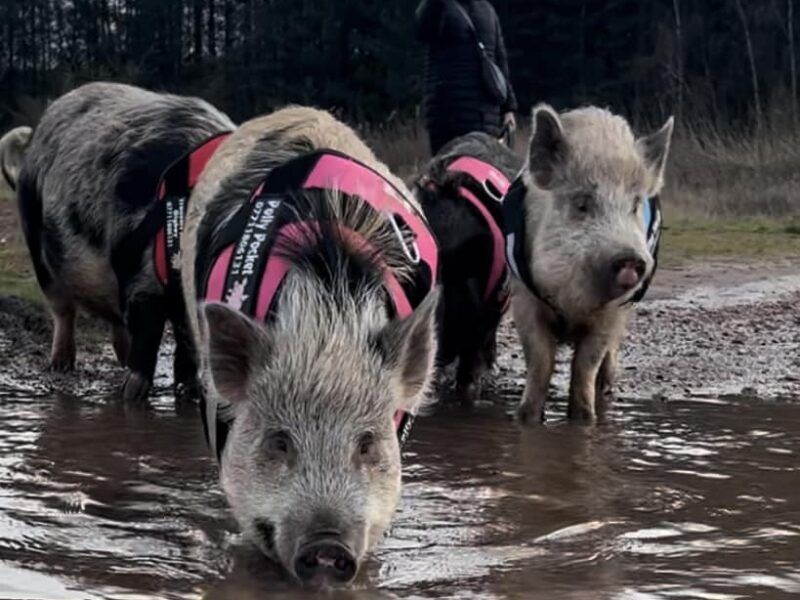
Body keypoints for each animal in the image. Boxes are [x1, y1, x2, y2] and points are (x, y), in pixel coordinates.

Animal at [2, 82, 234, 402]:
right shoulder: (142, 270)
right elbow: (149, 328)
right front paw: (131, 395)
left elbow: (185, 342)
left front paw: (189, 392)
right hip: (36, 243)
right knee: (63, 311)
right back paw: (61, 366)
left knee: (117, 322)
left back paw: (119, 361)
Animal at [509, 104, 673, 422]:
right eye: (582, 204)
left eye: (634, 206)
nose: (629, 257)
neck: (572, 302)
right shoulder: (524, 299)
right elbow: (540, 361)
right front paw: (526, 418)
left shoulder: (611, 313)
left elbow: (586, 364)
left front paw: (586, 420)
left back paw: (607, 388)